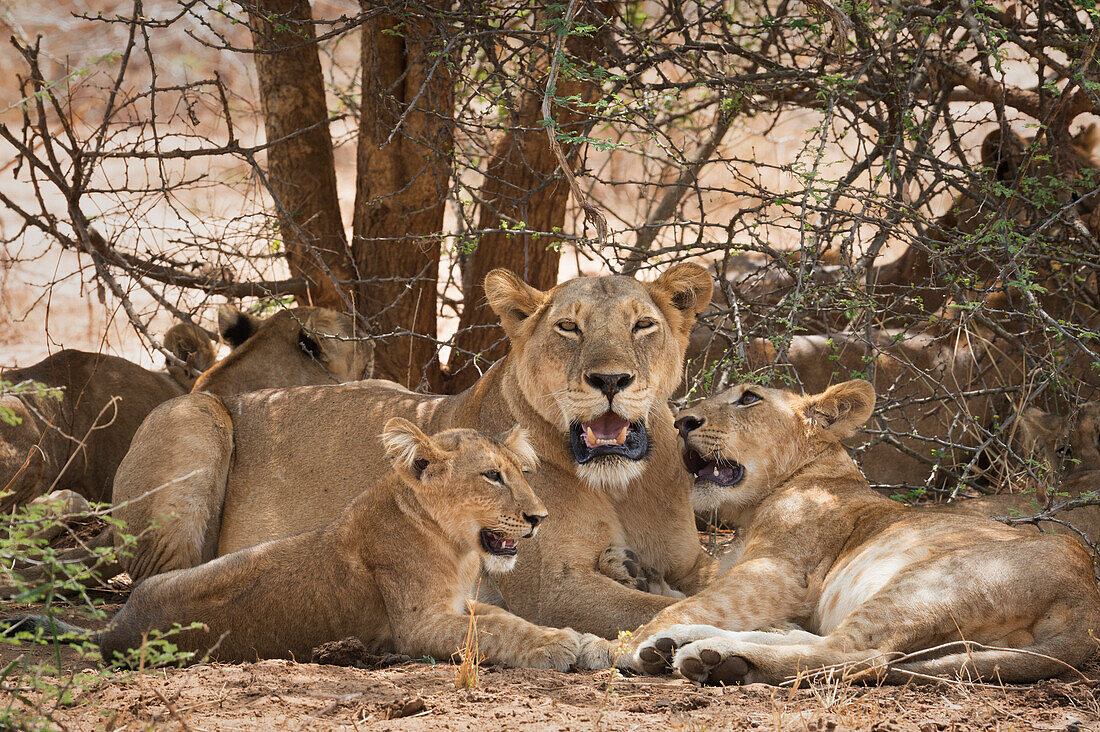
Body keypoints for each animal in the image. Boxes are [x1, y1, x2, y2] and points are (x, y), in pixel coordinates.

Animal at [580, 378, 1100, 682]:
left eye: (748, 399)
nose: (682, 421)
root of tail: (1087, 602)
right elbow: (691, 587)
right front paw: (627, 567)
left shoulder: (778, 571)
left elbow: (693, 599)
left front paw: (620, 644)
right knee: (819, 640)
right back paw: (692, 644)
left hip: (927, 583)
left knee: (854, 654)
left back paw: (710, 655)